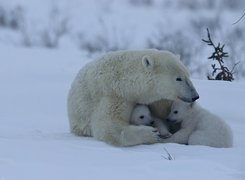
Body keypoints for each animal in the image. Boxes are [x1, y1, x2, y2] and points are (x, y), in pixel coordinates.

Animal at [67, 49, 199, 146]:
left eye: (188, 75)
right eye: (178, 78)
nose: (195, 96)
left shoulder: (157, 99)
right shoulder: (113, 95)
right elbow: (107, 125)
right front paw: (151, 134)